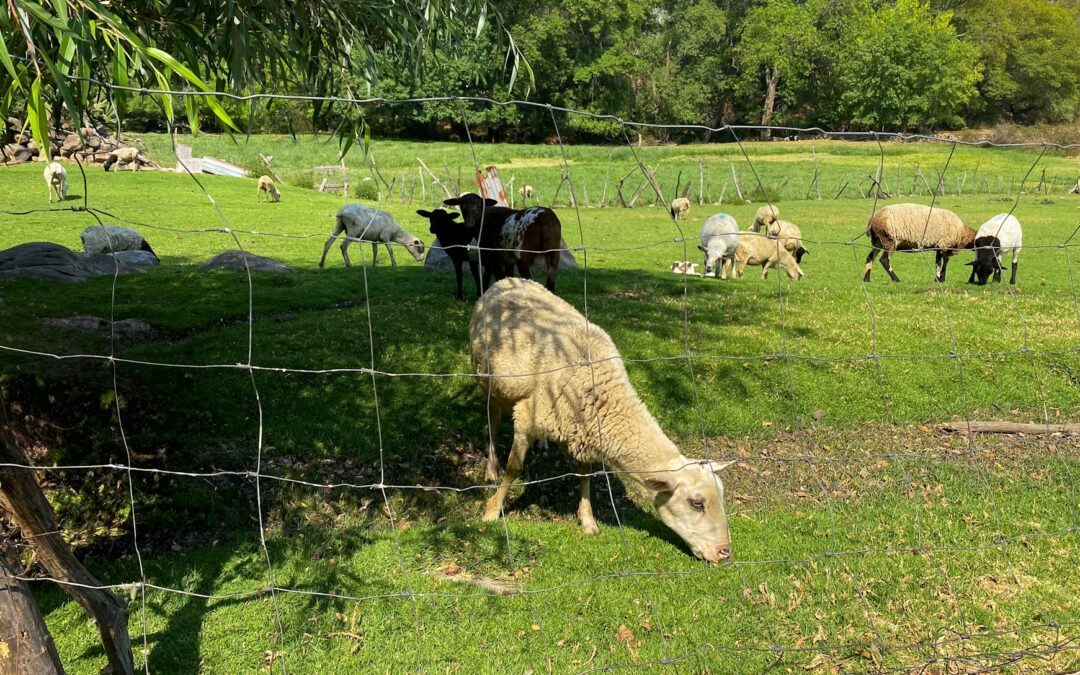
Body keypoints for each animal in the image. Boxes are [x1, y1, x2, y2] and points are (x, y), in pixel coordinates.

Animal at [468, 276, 738, 561]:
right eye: (697, 503)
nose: (724, 552)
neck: (602, 391)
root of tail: (509, 279)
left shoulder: (584, 433)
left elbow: (585, 475)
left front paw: (588, 520)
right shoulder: (526, 419)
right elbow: (514, 468)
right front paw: (492, 511)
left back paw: (541, 445)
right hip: (488, 383)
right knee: (493, 424)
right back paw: (490, 469)